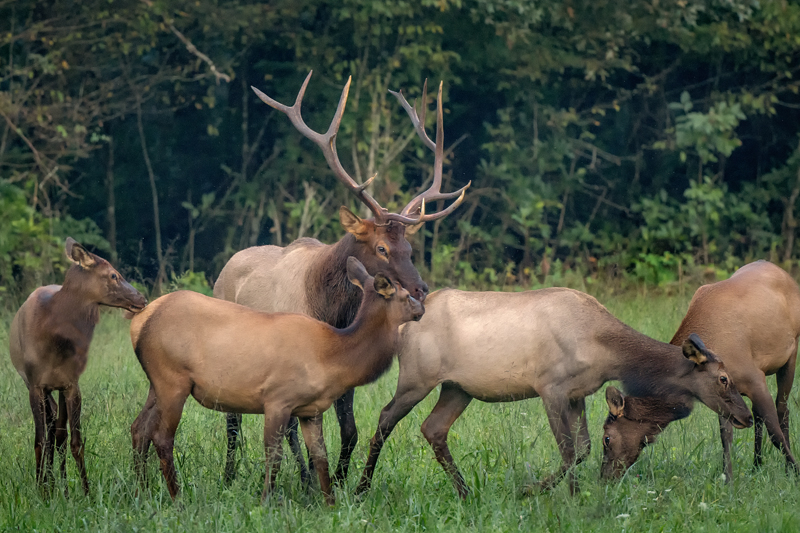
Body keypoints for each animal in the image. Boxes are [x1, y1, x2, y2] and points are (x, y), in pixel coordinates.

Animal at [8, 237, 146, 494]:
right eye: (114, 275)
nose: (142, 299)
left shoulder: (71, 383)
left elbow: (75, 441)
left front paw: (85, 492)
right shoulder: (35, 383)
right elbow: (40, 441)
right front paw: (42, 492)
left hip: (59, 388)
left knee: (58, 430)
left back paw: (60, 485)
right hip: (33, 383)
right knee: (49, 429)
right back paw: (49, 483)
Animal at [130, 256, 424, 502]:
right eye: (405, 295)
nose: (422, 306)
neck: (332, 359)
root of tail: (138, 324)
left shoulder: (311, 410)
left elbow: (321, 457)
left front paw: (330, 503)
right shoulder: (277, 399)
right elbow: (275, 456)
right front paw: (266, 501)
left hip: (157, 382)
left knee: (139, 428)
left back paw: (142, 491)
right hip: (173, 379)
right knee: (162, 436)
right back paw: (177, 498)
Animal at [216, 70, 472, 482]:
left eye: (409, 248)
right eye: (381, 248)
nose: (421, 289)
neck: (331, 309)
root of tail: (227, 266)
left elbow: (348, 429)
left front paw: (338, 476)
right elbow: (298, 428)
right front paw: (311, 480)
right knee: (234, 419)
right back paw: (230, 475)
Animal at [354, 286, 752, 498]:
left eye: (643, 444)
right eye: (723, 379)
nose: (745, 416)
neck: (603, 350)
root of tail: (404, 327)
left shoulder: (578, 393)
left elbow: (581, 449)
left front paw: (562, 494)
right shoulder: (550, 387)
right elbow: (569, 451)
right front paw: (537, 492)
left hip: (457, 388)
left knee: (433, 428)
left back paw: (466, 492)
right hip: (416, 378)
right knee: (385, 418)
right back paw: (360, 489)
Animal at [600, 260, 800, 480]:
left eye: (607, 438)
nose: (604, 477)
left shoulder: (755, 380)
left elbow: (775, 433)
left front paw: (795, 472)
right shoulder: (722, 395)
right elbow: (726, 437)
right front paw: (728, 479)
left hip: (791, 353)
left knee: (782, 409)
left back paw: (785, 469)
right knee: (758, 415)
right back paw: (757, 465)